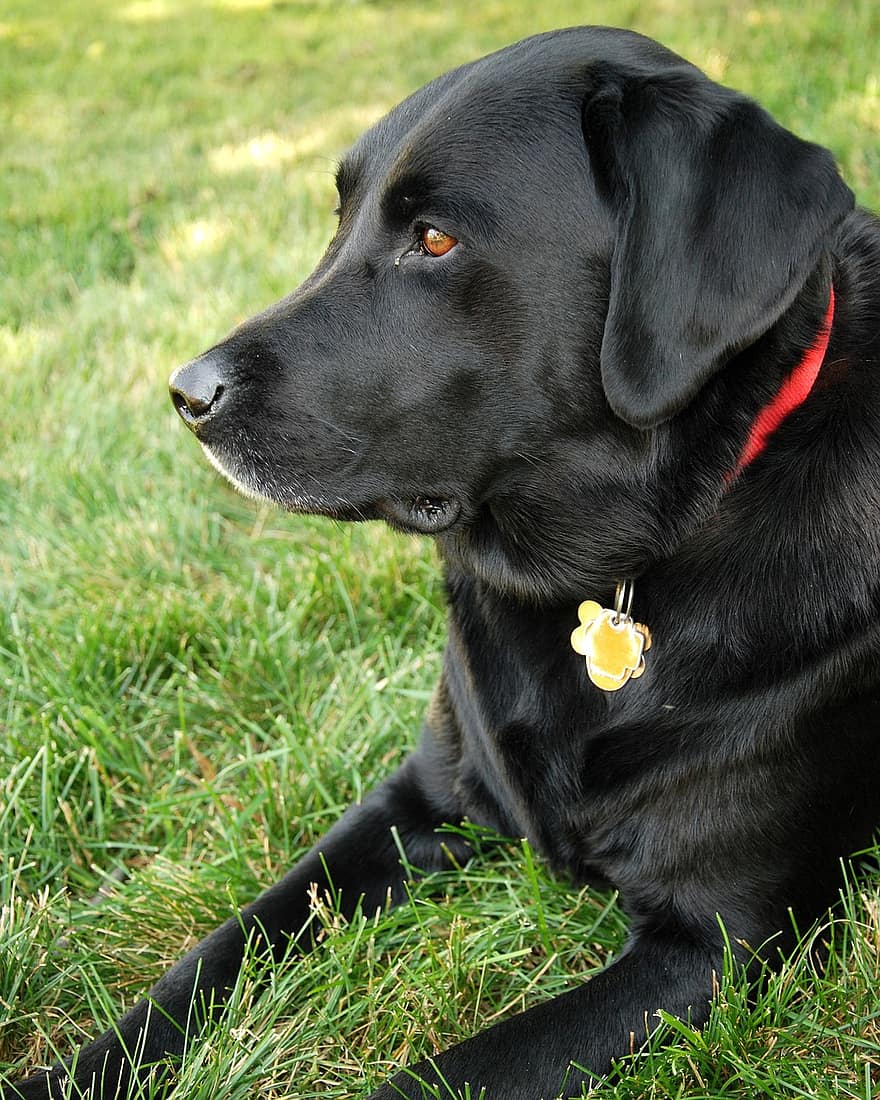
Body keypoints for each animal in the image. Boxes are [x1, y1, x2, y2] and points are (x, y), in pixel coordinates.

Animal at [8, 25, 880, 1100]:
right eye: (338, 217)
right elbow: (206, 960)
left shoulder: (718, 944)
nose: (186, 393)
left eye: (434, 241)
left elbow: (445, 1075)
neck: (608, 569)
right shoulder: (414, 798)